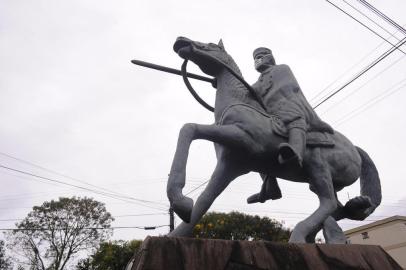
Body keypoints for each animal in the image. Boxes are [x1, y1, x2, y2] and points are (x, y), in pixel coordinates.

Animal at [166, 36, 380, 243]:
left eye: (211, 45)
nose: (182, 41)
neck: (237, 103)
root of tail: (355, 149)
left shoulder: (241, 137)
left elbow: (189, 129)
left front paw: (180, 201)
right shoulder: (230, 164)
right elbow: (205, 199)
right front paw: (176, 229)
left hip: (318, 167)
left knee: (328, 203)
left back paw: (300, 235)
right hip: (319, 179)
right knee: (336, 208)